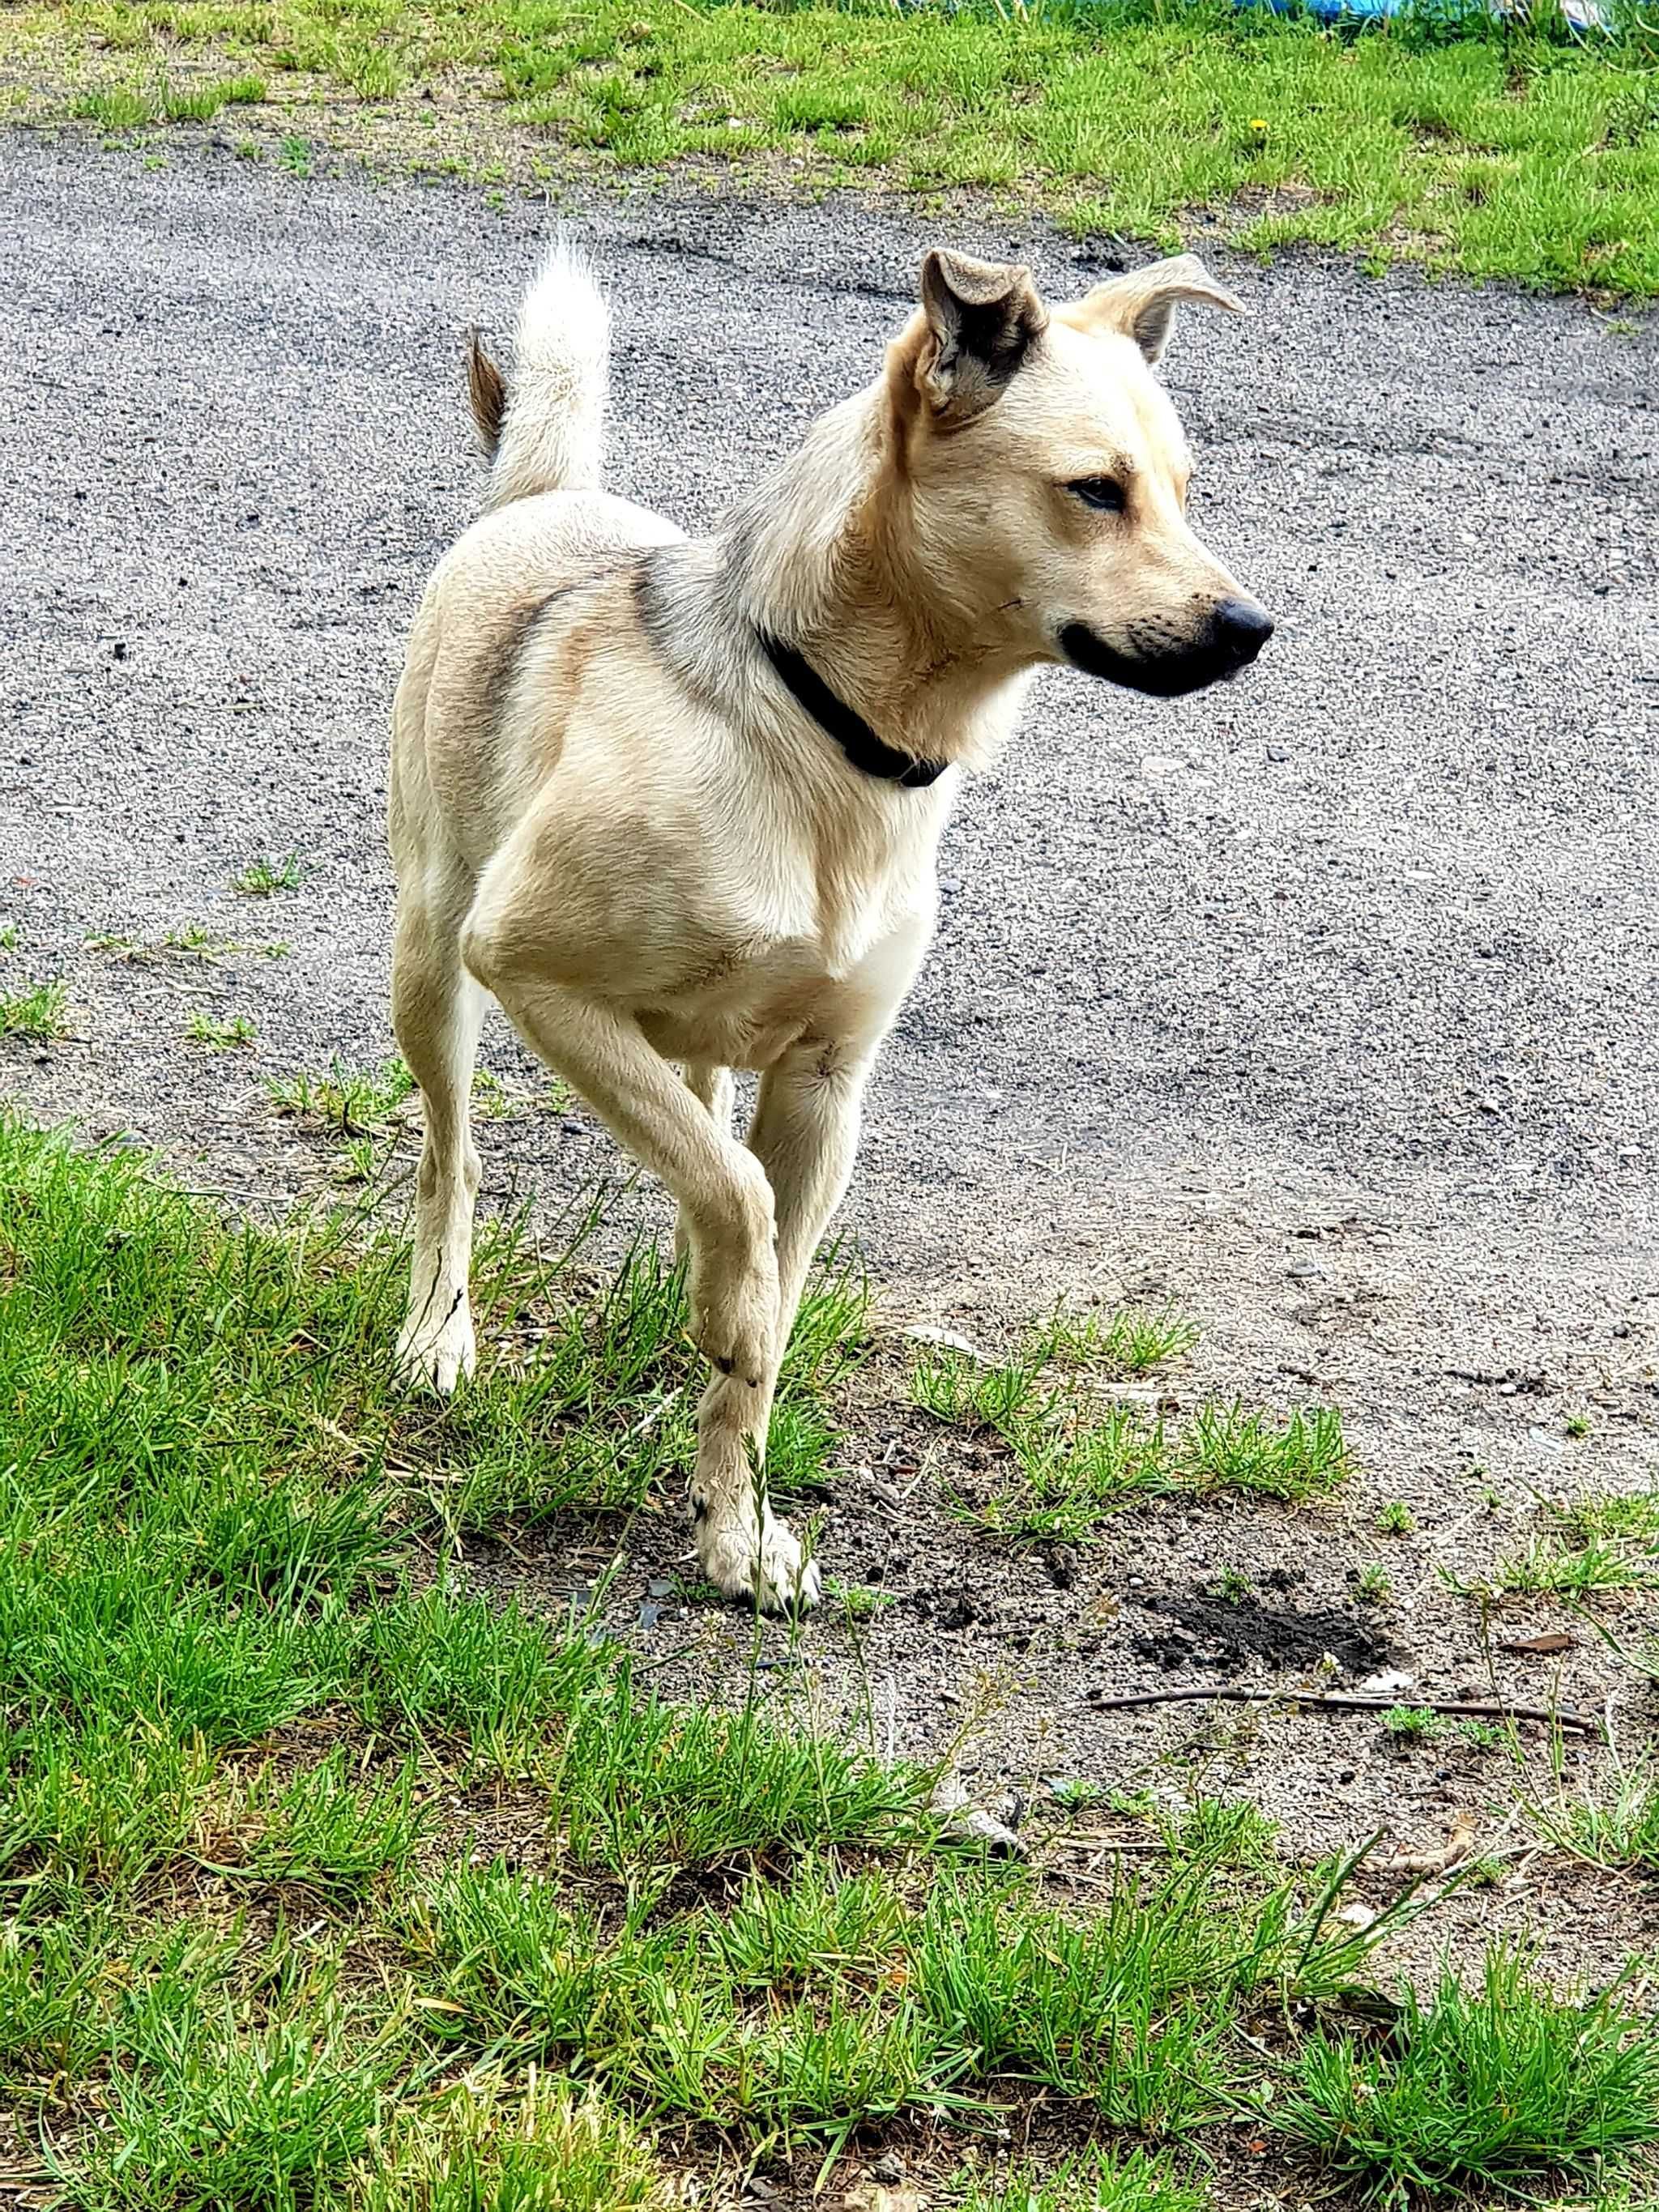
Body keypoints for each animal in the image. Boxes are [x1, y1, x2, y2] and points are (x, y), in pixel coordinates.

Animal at [389, 246, 1273, 1610]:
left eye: (1180, 491)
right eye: (1095, 491)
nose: (1249, 629)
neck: (821, 731)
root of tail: (543, 498)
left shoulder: (824, 1086)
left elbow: (760, 1300)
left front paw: (736, 1529)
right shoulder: (533, 970)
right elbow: (738, 1199)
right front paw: (731, 1328)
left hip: (674, 1036)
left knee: (694, 1130)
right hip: (436, 962)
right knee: (458, 1157)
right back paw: (444, 1328)